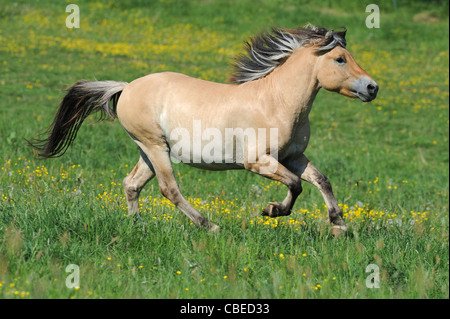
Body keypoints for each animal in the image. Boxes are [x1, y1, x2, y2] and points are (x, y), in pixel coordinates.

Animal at [29, 24, 378, 238]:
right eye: (340, 59)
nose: (373, 88)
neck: (276, 101)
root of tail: (126, 87)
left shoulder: (293, 156)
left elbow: (321, 180)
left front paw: (339, 227)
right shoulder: (258, 161)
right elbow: (295, 185)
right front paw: (271, 210)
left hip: (149, 150)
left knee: (132, 184)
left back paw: (138, 226)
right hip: (155, 148)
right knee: (169, 190)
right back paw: (210, 226)